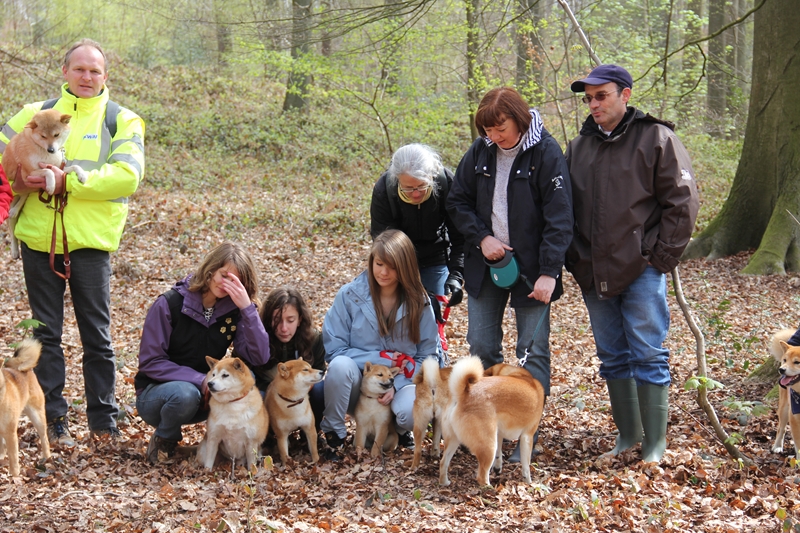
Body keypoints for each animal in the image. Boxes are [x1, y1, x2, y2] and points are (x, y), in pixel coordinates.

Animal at [0, 338, 50, 476]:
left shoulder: (10, 432)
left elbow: (13, 460)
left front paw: (14, 476)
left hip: (37, 416)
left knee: (44, 438)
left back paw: (47, 457)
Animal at [1, 107, 87, 258]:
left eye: (56, 134)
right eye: (43, 136)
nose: (51, 149)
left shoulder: (59, 168)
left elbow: (73, 167)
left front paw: (82, 175)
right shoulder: (27, 176)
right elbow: (48, 172)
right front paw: (51, 185)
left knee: (23, 198)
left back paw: (16, 209)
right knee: (12, 229)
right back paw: (14, 250)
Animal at [438, 358, 544, 486]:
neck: (521, 376)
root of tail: (463, 393)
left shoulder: (499, 434)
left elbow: (499, 454)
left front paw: (498, 467)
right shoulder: (527, 436)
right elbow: (526, 466)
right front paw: (529, 482)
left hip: (454, 440)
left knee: (443, 463)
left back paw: (445, 482)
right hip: (488, 446)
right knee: (482, 476)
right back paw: (489, 488)